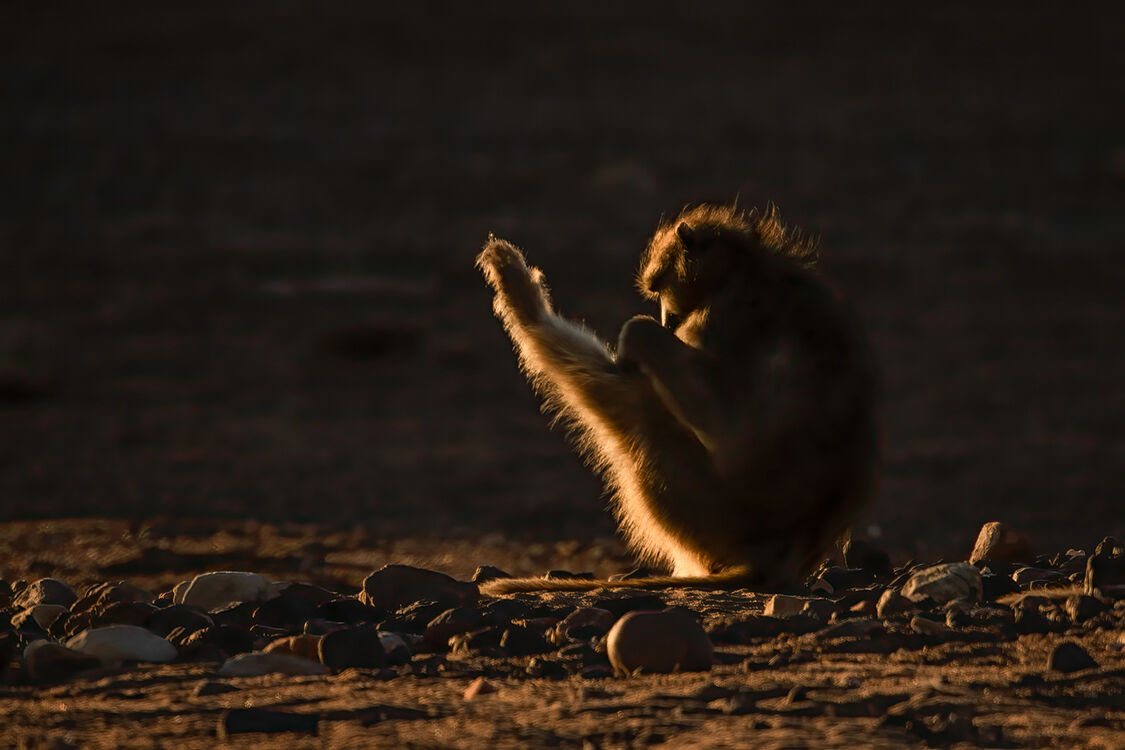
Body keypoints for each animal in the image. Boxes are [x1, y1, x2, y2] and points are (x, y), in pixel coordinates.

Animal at [475, 203, 878, 595]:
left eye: (659, 289)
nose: (668, 322)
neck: (749, 266)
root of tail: (785, 555)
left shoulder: (721, 316)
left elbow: (727, 433)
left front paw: (635, 337)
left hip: (711, 514)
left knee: (638, 403)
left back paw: (526, 305)